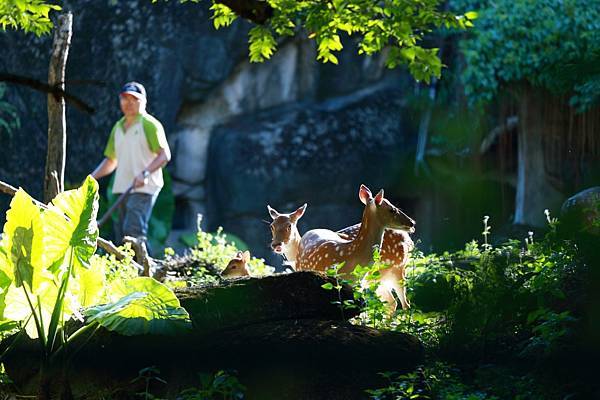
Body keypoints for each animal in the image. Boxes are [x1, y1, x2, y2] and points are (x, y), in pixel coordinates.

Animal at [270, 184, 414, 310]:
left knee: (401, 303)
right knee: (396, 303)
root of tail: (408, 241)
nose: (412, 222)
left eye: (289, 226)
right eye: (272, 226)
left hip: (394, 270)